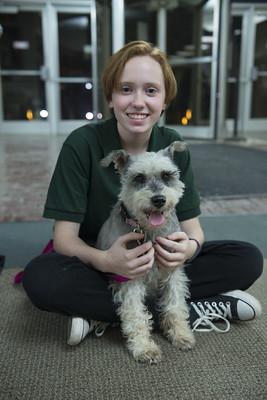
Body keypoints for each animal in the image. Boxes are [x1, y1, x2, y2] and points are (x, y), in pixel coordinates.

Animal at [96, 142, 195, 364]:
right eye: (139, 178)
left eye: (167, 175)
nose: (159, 199)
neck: (149, 232)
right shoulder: (130, 275)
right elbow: (135, 314)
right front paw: (144, 348)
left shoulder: (173, 269)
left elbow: (175, 304)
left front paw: (180, 334)